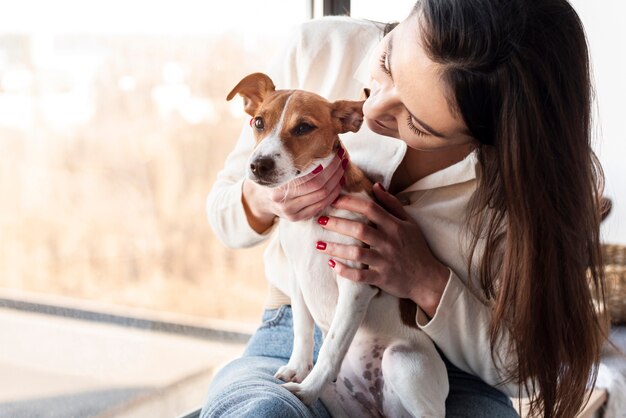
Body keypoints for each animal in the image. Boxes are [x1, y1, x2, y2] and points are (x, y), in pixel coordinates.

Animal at [227, 72, 446, 418]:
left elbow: (331, 346)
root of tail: (381, 409)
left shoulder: (356, 284)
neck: (314, 218)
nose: (258, 165)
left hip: (402, 362)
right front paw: (297, 369)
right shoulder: (297, 278)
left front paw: (307, 390)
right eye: (259, 122)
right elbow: (302, 330)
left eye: (303, 127)